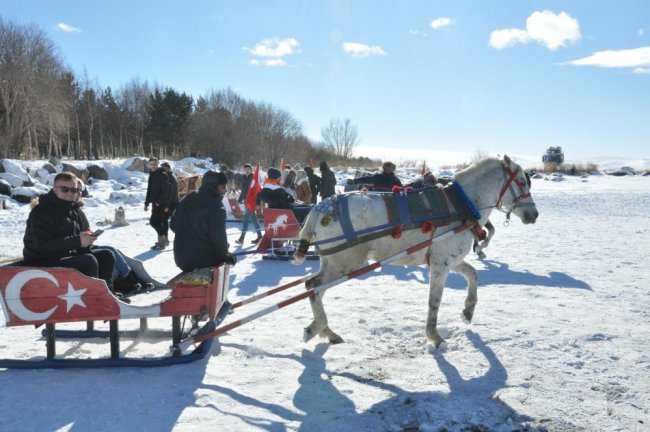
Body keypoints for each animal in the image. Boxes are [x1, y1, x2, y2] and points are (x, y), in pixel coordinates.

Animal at [294, 155, 536, 348]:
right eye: (523, 182)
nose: (534, 215)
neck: (463, 204)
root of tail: (320, 207)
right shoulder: (440, 265)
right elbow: (434, 302)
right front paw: (435, 337)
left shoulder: (449, 260)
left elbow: (473, 275)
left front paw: (468, 312)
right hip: (344, 263)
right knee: (313, 287)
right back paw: (318, 328)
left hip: (333, 262)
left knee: (314, 288)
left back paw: (327, 332)